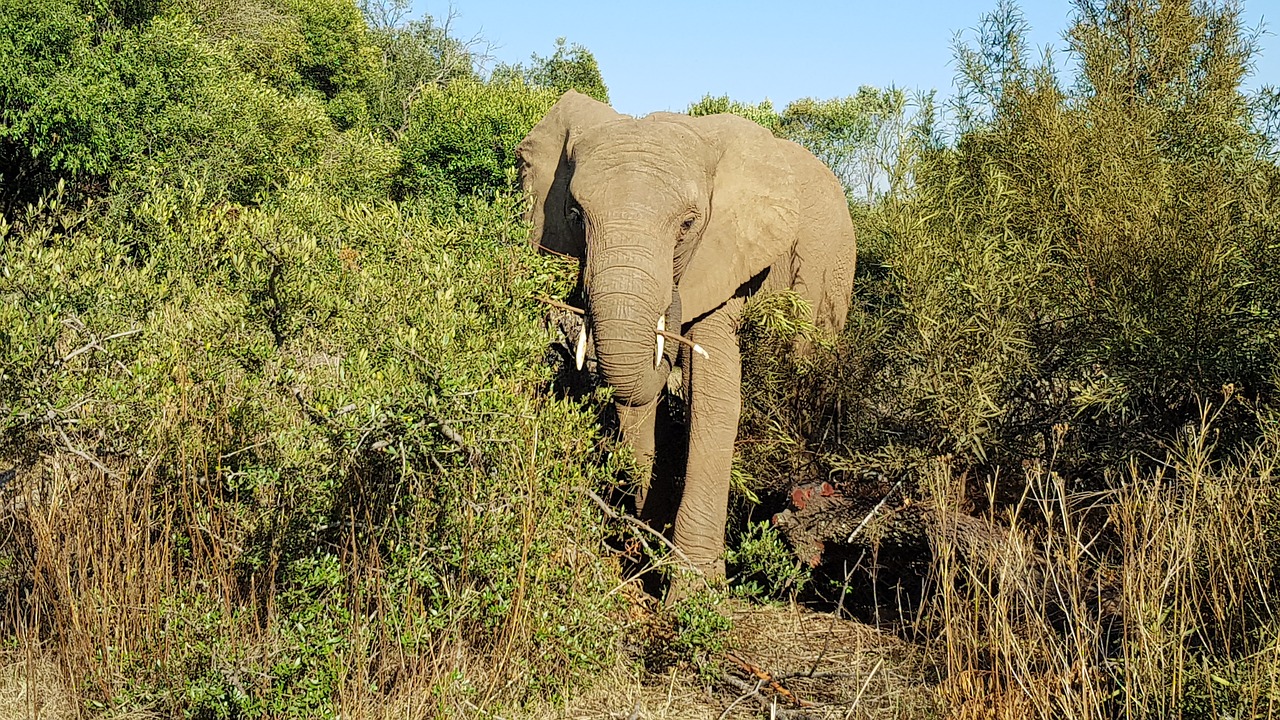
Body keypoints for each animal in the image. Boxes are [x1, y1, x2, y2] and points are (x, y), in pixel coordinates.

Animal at [514, 89, 855, 584]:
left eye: (688, 225)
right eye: (576, 216)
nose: (671, 305)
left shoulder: (727, 256)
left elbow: (712, 395)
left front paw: (694, 591)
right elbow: (635, 398)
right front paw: (644, 549)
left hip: (831, 270)